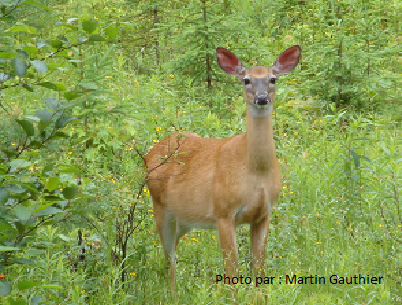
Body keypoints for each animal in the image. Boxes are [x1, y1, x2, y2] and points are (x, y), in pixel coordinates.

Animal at [145, 44, 302, 292]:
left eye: (273, 79)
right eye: (246, 80)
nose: (261, 98)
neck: (255, 172)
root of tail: (149, 152)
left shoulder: (263, 214)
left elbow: (259, 269)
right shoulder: (223, 212)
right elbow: (232, 271)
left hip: (184, 219)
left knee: (171, 254)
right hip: (160, 207)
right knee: (169, 258)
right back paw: (172, 295)